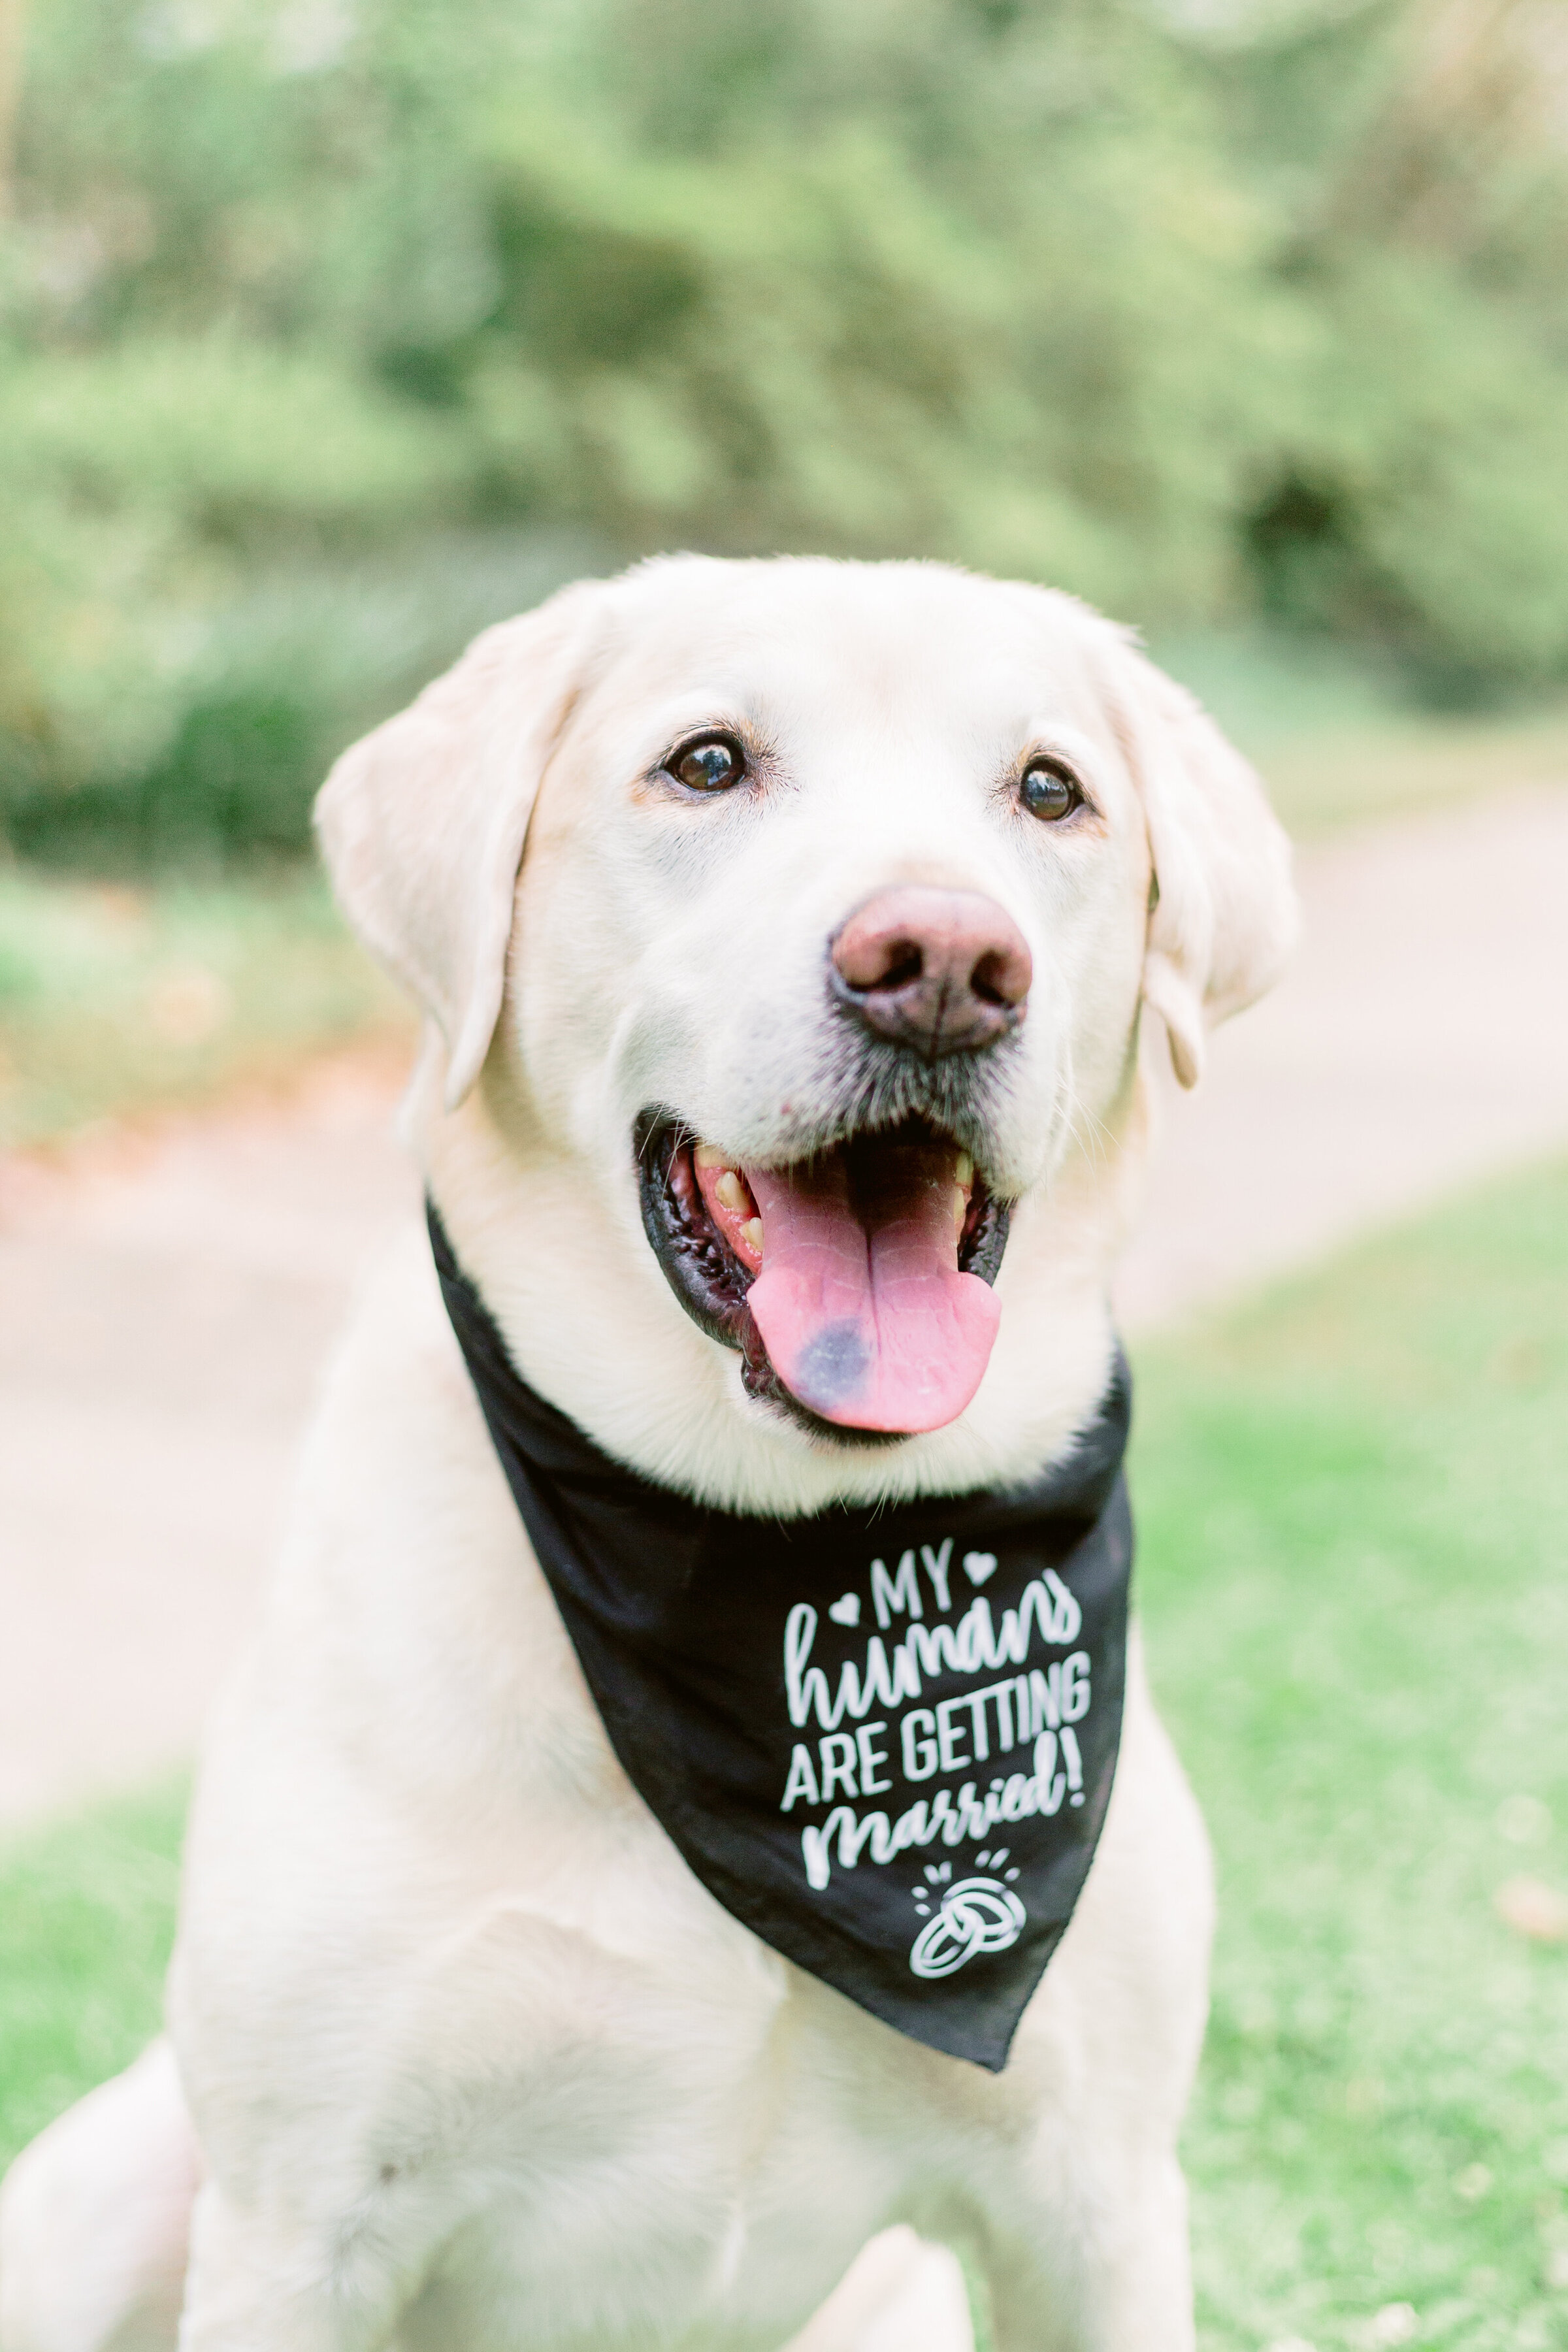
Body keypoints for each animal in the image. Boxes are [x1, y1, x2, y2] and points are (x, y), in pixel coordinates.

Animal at [3, 555, 1298, 2352]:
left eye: (1051, 792)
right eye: (705, 764)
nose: (943, 960)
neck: (774, 1543)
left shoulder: (1093, 2209)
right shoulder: (294, 2231)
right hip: (122, 2178)